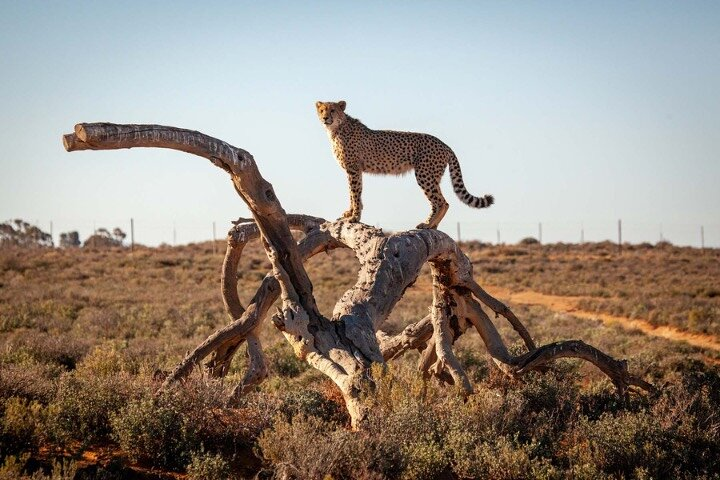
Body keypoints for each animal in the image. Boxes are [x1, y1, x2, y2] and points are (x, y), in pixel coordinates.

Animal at [315, 100, 494, 229]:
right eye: (322, 110)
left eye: (333, 110)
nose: (325, 118)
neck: (337, 128)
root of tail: (444, 144)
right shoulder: (353, 170)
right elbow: (352, 193)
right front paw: (349, 213)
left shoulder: (353, 169)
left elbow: (355, 192)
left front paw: (355, 217)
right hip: (433, 176)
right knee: (439, 202)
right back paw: (432, 225)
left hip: (424, 174)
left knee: (441, 202)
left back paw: (427, 224)